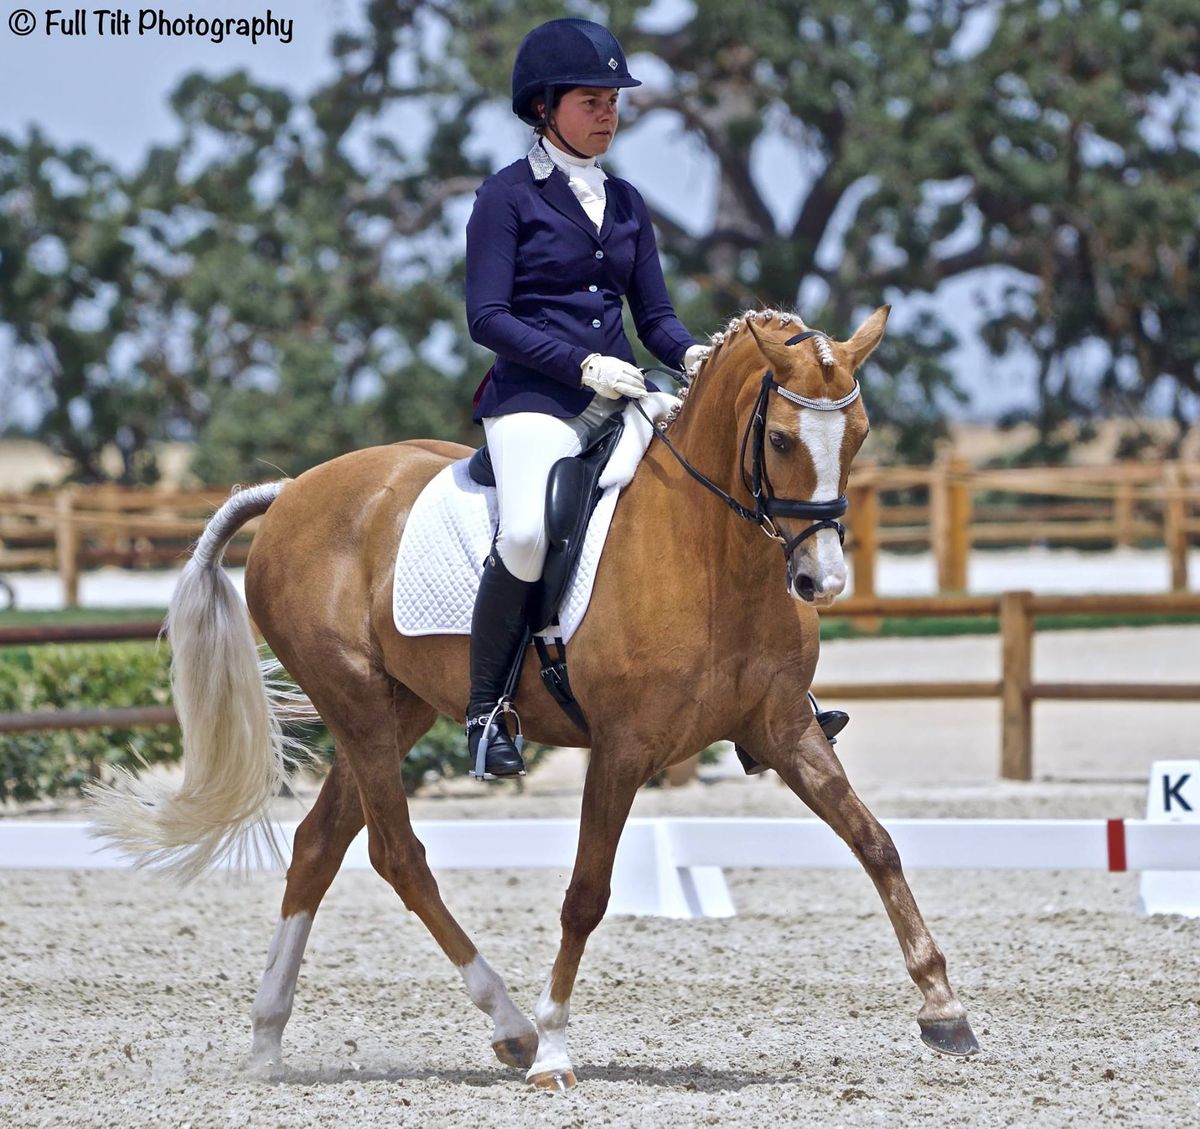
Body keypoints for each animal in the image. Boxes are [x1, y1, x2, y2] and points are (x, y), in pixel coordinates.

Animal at [88, 305, 980, 1091]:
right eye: (783, 438)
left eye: (858, 435)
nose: (819, 581)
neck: (709, 549)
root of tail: (294, 491)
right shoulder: (622, 748)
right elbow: (585, 894)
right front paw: (554, 1047)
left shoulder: (787, 725)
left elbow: (875, 842)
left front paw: (944, 1008)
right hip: (359, 704)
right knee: (396, 855)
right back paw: (512, 1026)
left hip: (399, 707)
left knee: (317, 844)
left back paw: (269, 1040)